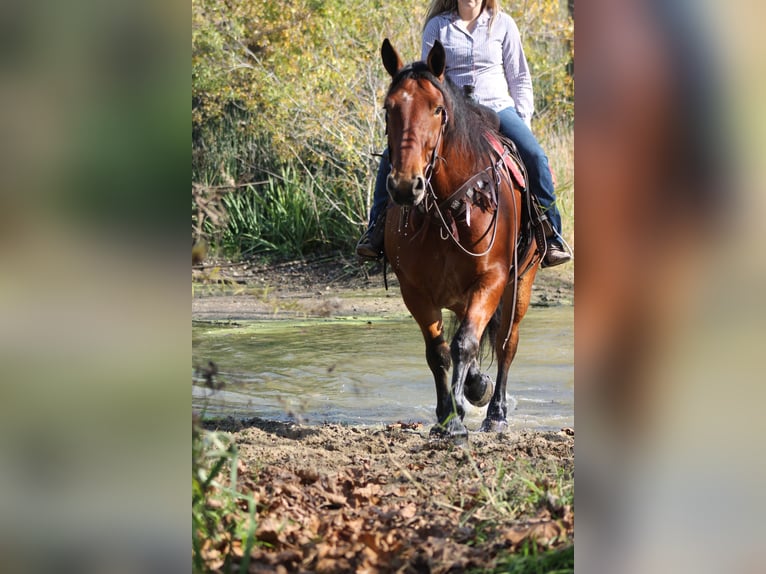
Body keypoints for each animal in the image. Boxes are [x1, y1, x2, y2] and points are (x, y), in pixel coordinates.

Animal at [380, 39, 541, 439]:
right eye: (389, 108)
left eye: (438, 109)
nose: (405, 186)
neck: (450, 207)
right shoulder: (415, 291)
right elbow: (439, 352)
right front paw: (448, 417)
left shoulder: (492, 280)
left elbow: (466, 343)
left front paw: (460, 416)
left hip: (520, 283)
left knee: (506, 343)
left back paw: (495, 412)